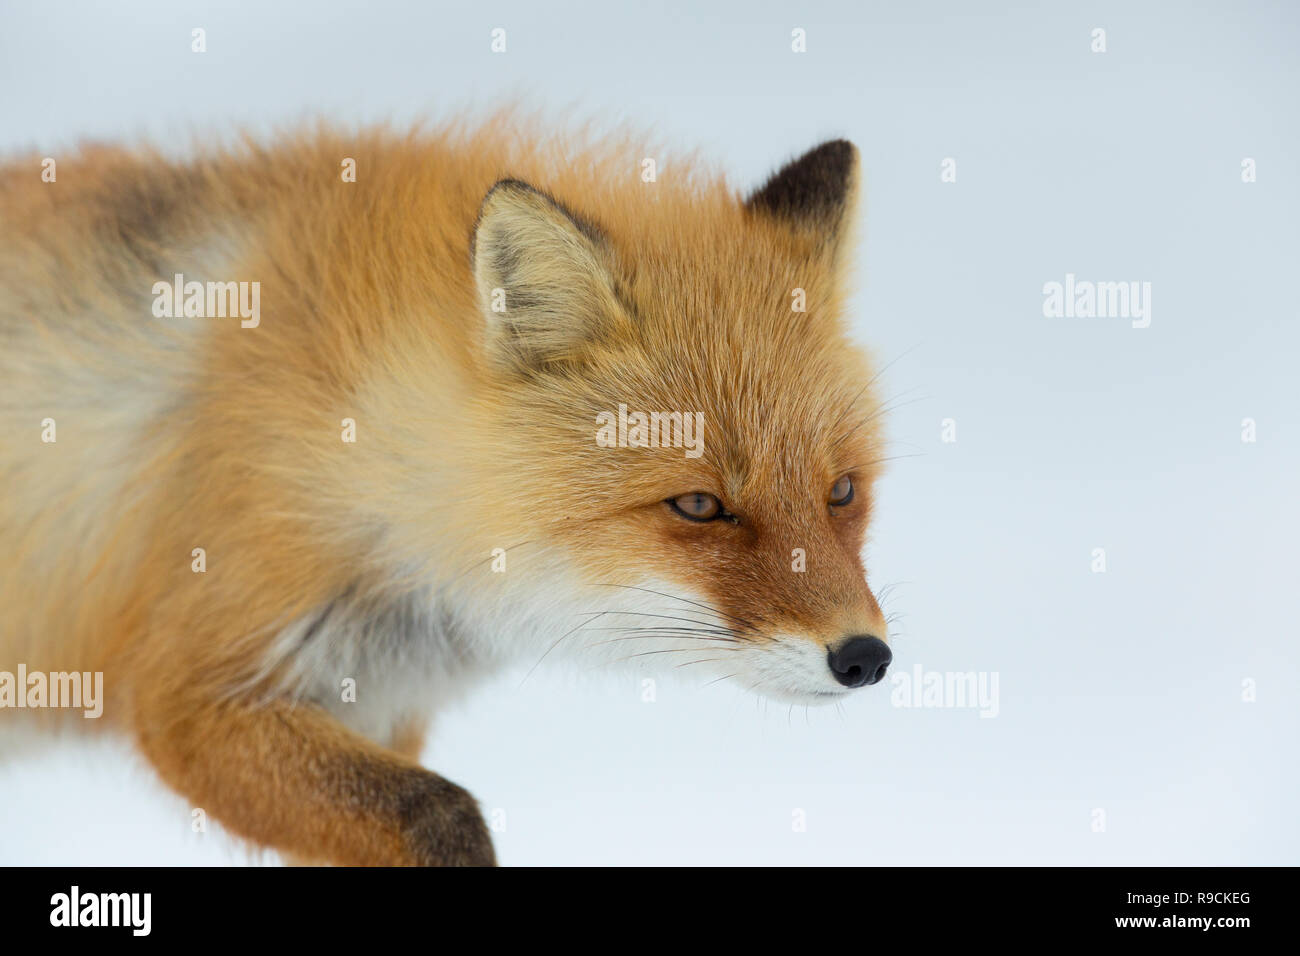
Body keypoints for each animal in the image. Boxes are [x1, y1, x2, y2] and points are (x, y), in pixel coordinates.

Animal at [0, 121, 894, 868]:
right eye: (701, 506)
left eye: (842, 491)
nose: (865, 658)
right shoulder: (194, 689)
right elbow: (438, 811)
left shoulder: (377, 708)